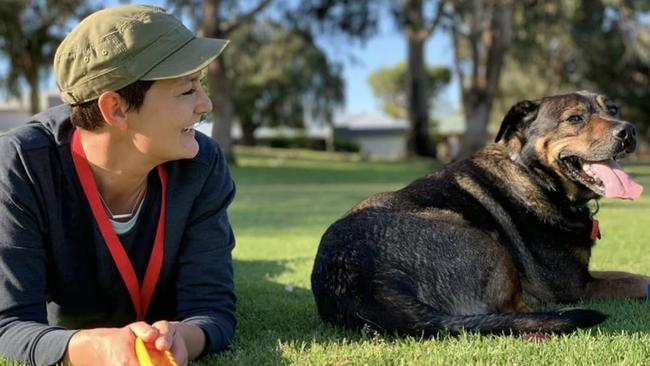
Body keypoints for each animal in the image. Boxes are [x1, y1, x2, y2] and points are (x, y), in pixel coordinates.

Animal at [312, 92, 644, 338]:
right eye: (575, 119)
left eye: (612, 109)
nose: (629, 130)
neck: (536, 176)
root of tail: (373, 286)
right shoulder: (576, 286)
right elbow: (640, 281)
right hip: (486, 242)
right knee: (518, 314)